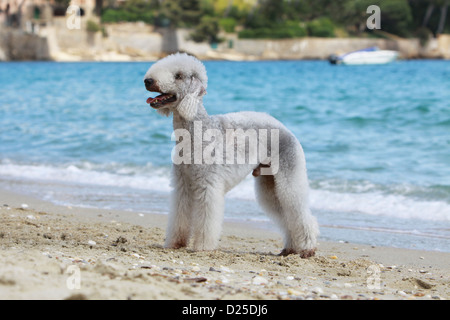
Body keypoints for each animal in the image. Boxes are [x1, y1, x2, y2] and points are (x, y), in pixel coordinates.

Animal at [143, 52, 316, 258]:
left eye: (178, 76)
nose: (147, 81)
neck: (198, 131)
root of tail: (286, 129)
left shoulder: (207, 185)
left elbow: (206, 219)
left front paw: (202, 246)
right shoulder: (183, 185)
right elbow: (180, 214)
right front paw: (175, 243)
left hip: (288, 178)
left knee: (299, 213)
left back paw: (307, 249)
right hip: (270, 183)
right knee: (285, 215)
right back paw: (290, 248)